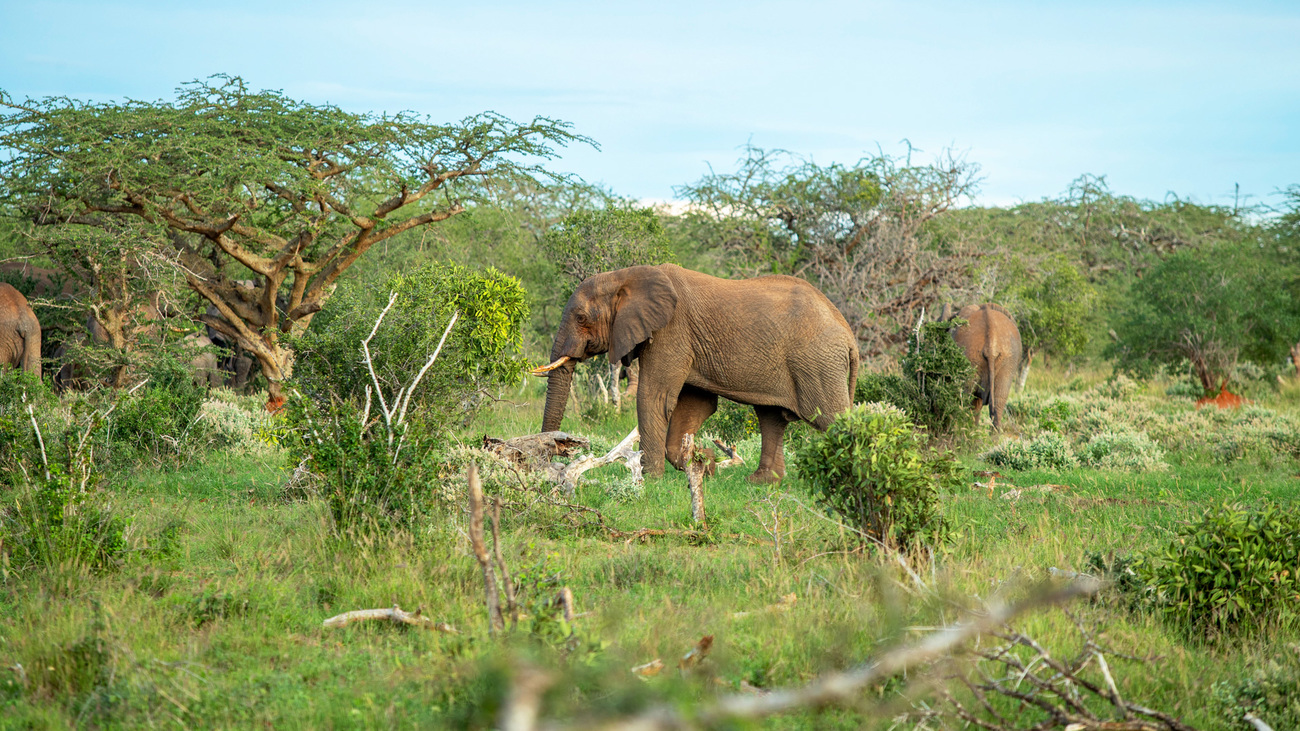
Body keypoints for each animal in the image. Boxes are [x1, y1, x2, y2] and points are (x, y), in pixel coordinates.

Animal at [533, 262, 857, 483]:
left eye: (581, 318)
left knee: (832, 418)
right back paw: (761, 482)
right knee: (771, 418)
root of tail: (848, 333)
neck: (625, 276)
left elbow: (654, 397)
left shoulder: (671, 332)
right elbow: (696, 405)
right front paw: (706, 463)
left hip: (817, 364)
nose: (554, 464)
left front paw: (651, 479)